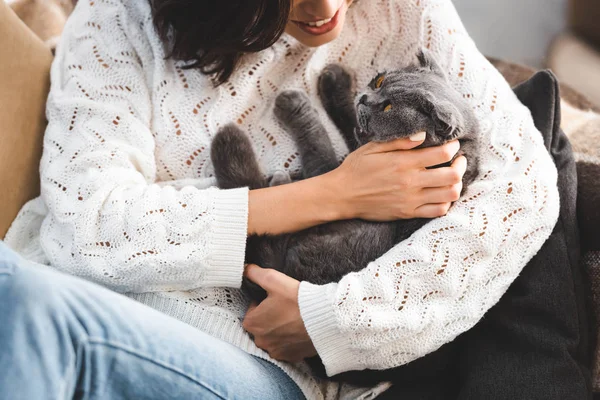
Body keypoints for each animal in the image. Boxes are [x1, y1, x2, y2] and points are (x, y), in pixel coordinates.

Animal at [209, 50, 480, 384]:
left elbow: (318, 140)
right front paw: (336, 82)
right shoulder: (359, 147)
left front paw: (293, 102)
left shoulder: (329, 173)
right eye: (379, 81)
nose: (365, 97)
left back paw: (245, 151)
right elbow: (349, 120)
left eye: (388, 107)